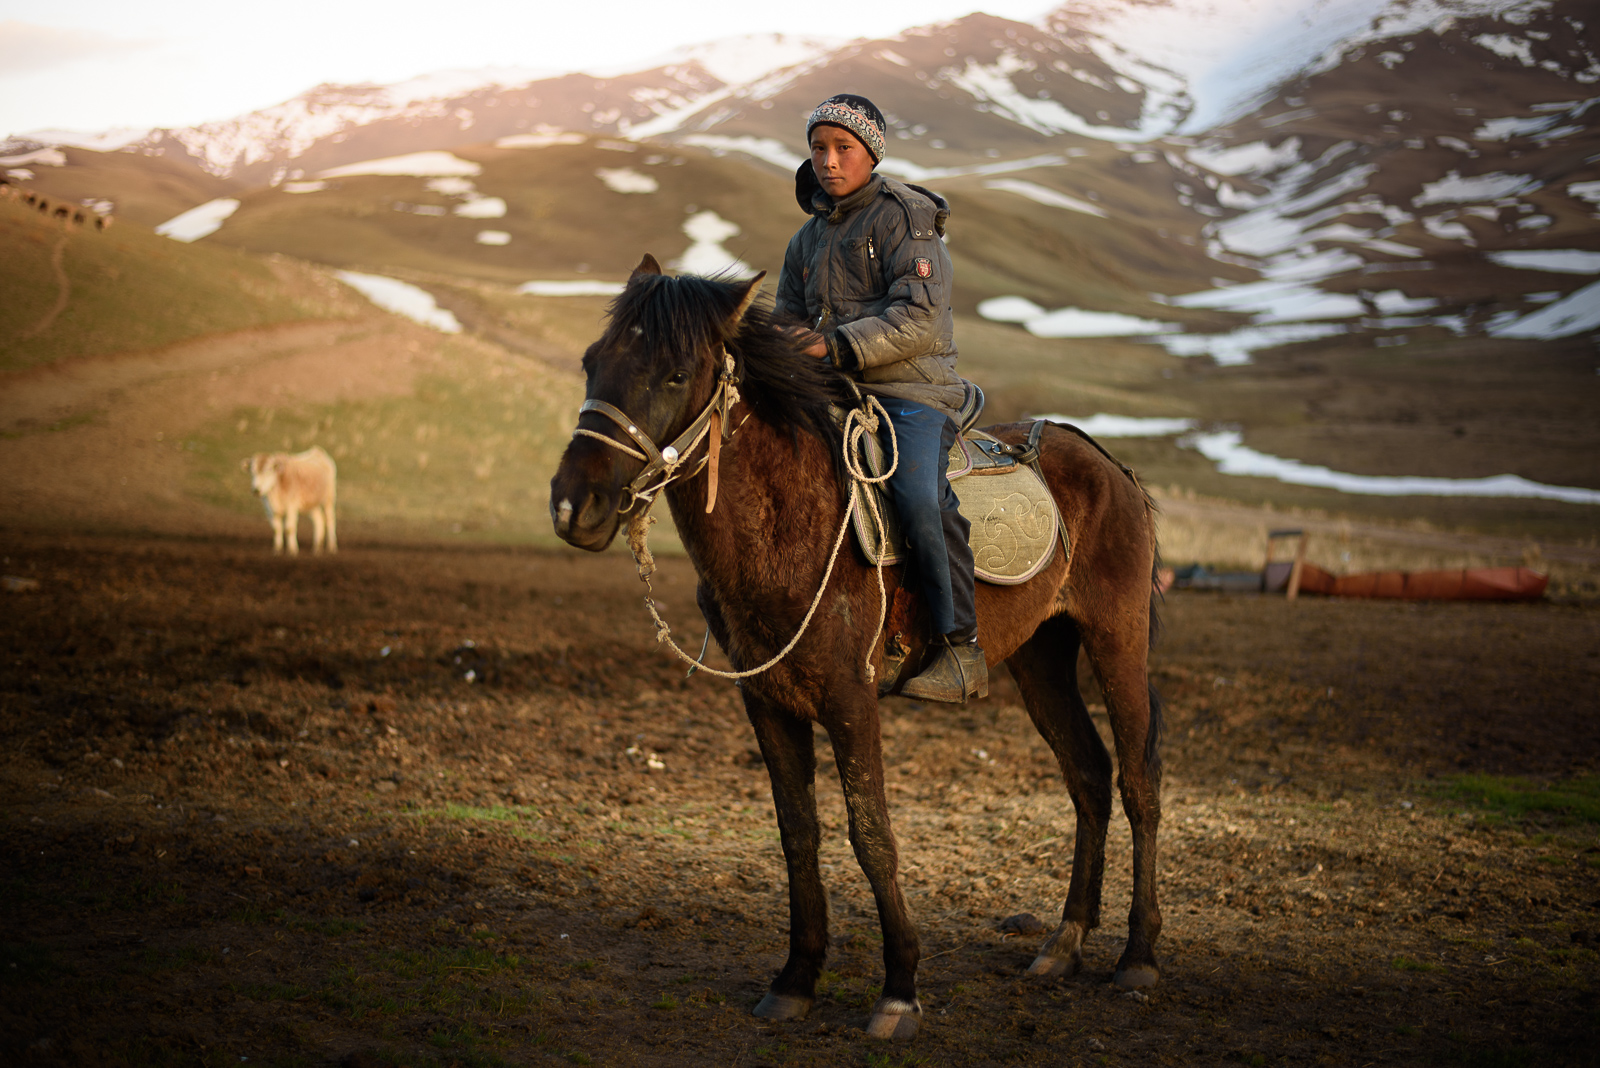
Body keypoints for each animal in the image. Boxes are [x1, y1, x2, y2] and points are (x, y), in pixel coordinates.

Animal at [550, 254, 1164, 1036]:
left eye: (674, 374)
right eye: (592, 362)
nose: (574, 507)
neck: (790, 520)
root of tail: (1106, 463)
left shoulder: (851, 699)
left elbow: (872, 835)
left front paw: (899, 988)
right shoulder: (768, 702)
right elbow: (798, 835)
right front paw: (795, 977)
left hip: (1117, 640)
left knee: (1138, 781)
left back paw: (1138, 958)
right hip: (1041, 657)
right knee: (1087, 774)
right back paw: (1065, 944)